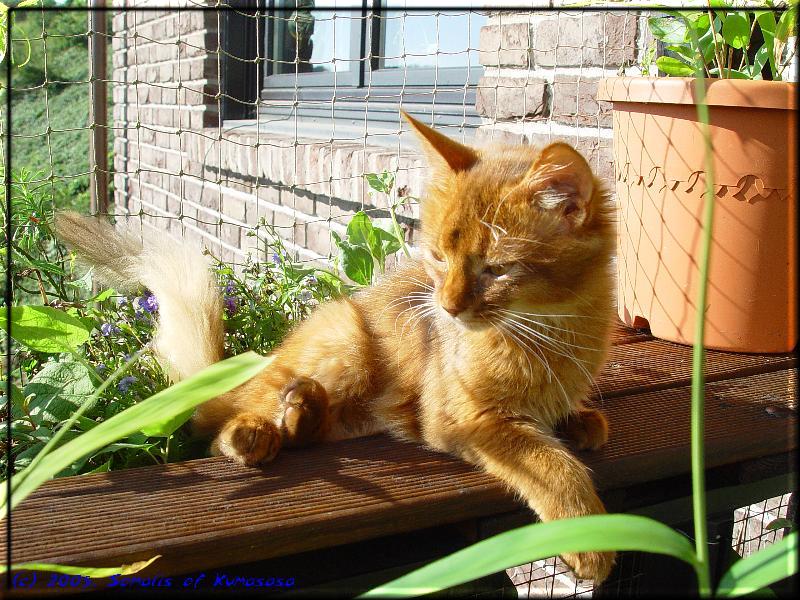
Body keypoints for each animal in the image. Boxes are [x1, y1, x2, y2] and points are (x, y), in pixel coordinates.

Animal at [56, 112, 620, 580]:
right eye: (438, 257)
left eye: (496, 270)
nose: (446, 307)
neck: (550, 331)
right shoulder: (464, 418)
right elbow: (546, 459)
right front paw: (589, 536)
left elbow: (570, 416)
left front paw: (581, 419)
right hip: (345, 339)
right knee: (218, 427)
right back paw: (256, 432)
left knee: (305, 426)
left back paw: (300, 410)